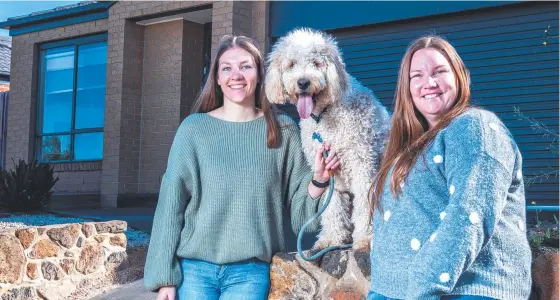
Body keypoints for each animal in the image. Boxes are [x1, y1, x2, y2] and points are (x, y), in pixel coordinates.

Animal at [266, 29, 390, 252]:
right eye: (291, 64)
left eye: (316, 63)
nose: (303, 82)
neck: (324, 114)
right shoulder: (328, 170)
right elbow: (331, 206)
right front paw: (332, 238)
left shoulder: (362, 163)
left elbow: (364, 202)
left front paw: (365, 239)